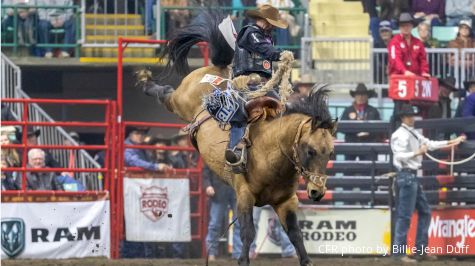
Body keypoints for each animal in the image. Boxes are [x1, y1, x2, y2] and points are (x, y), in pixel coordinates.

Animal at [138, 8, 338, 266]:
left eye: (330, 152)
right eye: (310, 150)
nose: (317, 192)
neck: (272, 152)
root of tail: (217, 69)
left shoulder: (286, 201)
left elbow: (295, 234)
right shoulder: (244, 195)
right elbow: (247, 233)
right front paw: (243, 259)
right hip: (179, 101)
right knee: (165, 92)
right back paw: (145, 80)